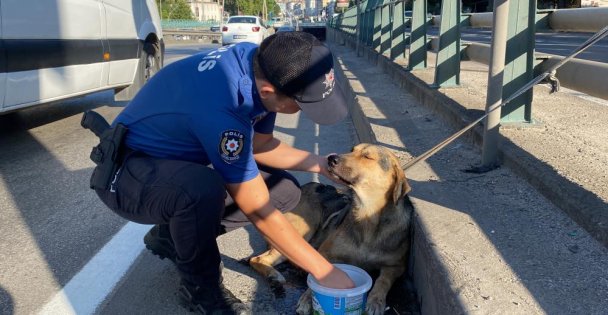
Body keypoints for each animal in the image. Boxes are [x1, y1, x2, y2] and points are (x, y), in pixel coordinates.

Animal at [249, 144, 416, 315]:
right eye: (352, 149)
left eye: (367, 157)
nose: (331, 158)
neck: (368, 215)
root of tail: (308, 185)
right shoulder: (325, 252)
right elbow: (321, 274)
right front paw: (308, 298)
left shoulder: (396, 266)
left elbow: (383, 281)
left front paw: (376, 300)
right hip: (298, 232)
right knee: (257, 259)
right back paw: (274, 275)